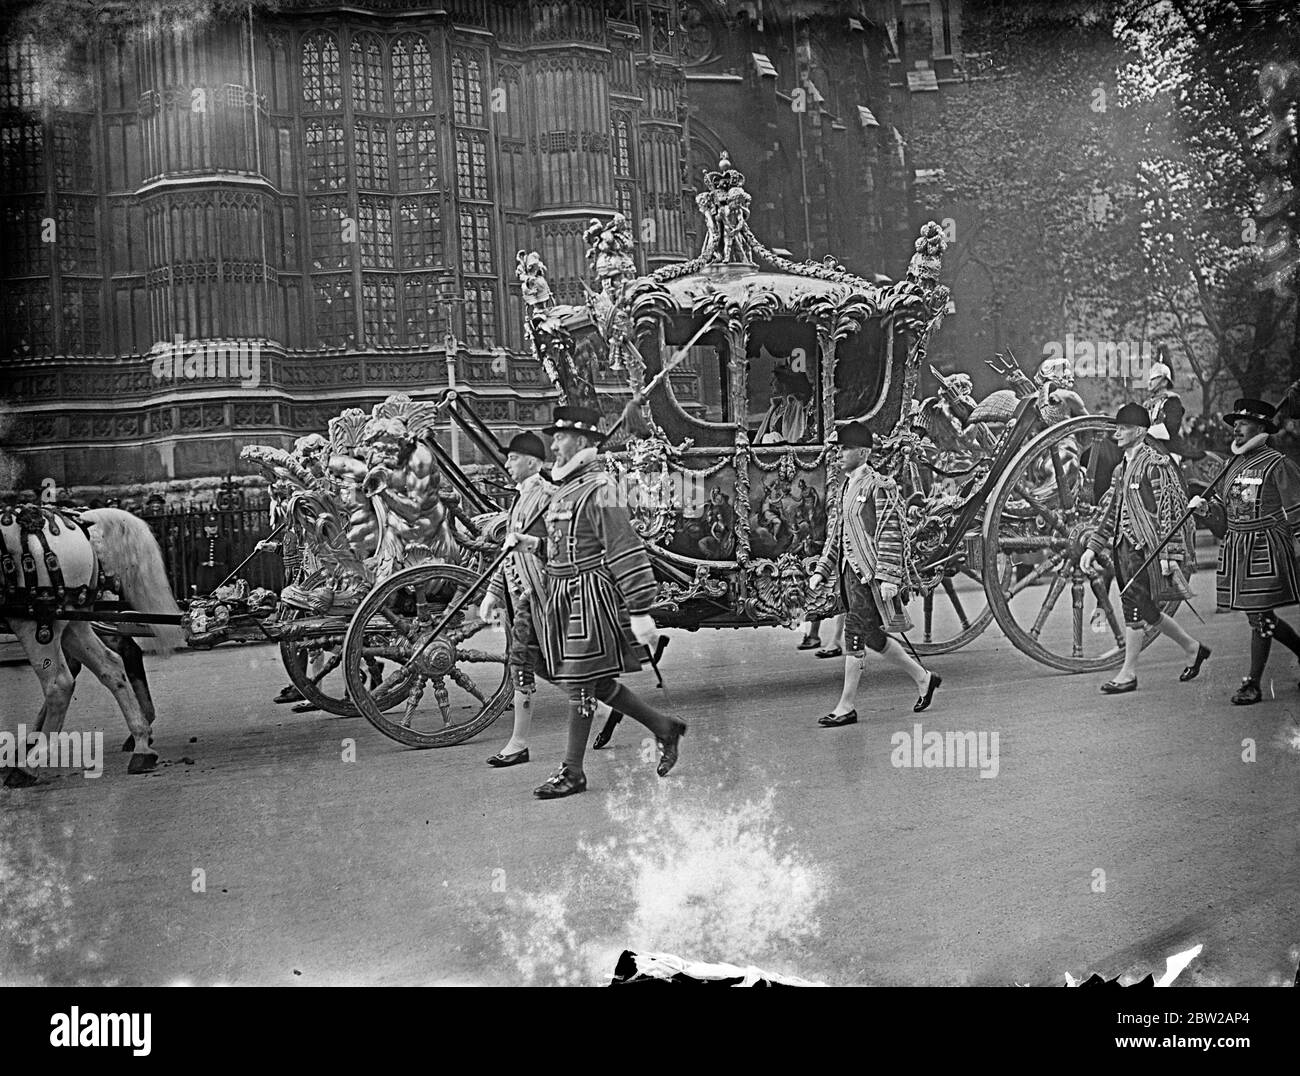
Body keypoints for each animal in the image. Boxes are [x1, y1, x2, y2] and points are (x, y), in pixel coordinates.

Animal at [1, 509, 183, 784]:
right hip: (75, 621)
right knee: (111, 665)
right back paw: (141, 742)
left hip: (38, 624)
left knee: (61, 682)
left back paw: (28, 764)